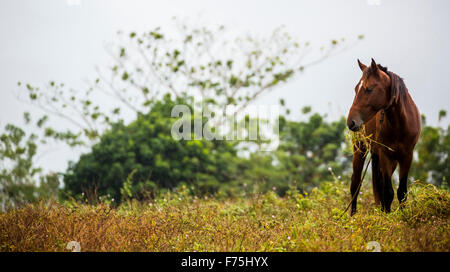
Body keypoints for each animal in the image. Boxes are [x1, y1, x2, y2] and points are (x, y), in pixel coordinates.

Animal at [348, 59, 422, 215]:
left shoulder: (407, 157)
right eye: (356, 88)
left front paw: (403, 215)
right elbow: (388, 192)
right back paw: (352, 216)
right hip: (360, 149)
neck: (400, 124)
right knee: (355, 184)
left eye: (368, 89)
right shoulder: (385, 155)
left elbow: (401, 191)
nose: (351, 122)